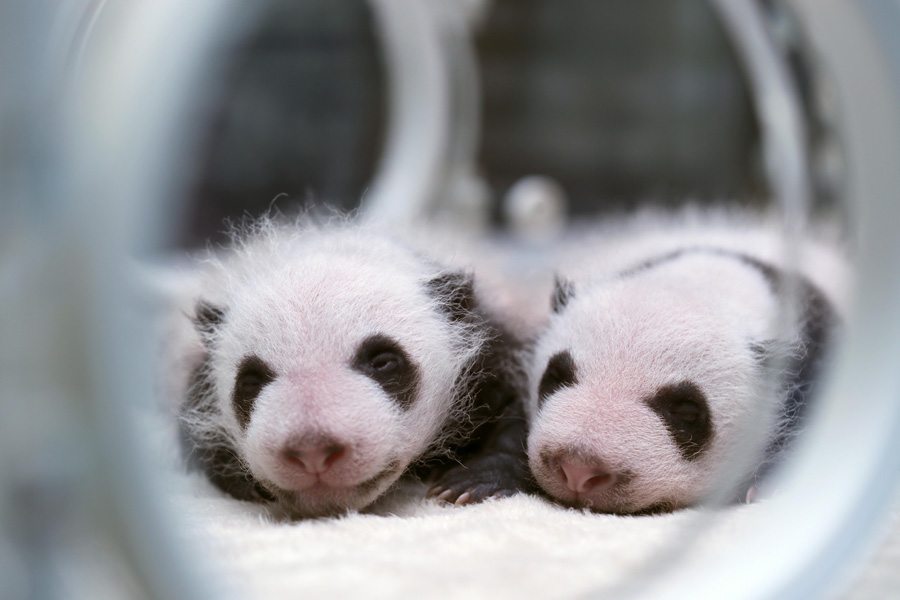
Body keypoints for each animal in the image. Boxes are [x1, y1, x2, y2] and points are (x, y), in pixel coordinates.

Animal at [175, 218, 528, 516]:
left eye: (383, 362)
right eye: (250, 381)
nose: (312, 451)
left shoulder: (481, 350)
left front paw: (469, 483)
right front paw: (247, 482)